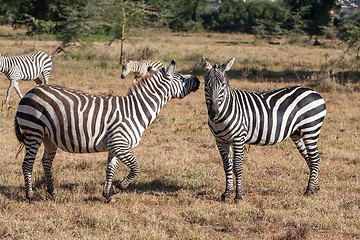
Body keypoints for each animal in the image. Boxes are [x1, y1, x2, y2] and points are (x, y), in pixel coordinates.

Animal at [14, 59, 200, 202]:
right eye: (181, 77)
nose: (198, 79)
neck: (136, 110)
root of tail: (30, 92)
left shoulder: (115, 146)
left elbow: (110, 170)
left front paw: (107, 195)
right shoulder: (119, 143)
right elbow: (135, 168)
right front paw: (118, 188)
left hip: (49, 137)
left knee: (46, 162)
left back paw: (52, 193)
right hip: (34, 131)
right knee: (27, 164)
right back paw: (30, 196)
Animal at [201, 57, 328, 203]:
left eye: (223, 85)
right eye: (206, 85)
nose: (213, 113)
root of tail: (315, 92)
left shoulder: (239, 138)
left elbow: (237, 167)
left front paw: (238, 196)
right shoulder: (221, 140)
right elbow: (227, 166)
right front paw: (227, 193)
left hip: (311, 129)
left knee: (315, 158)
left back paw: (309, 190)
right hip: (297, 133)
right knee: (309, 159)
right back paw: (315, 188)